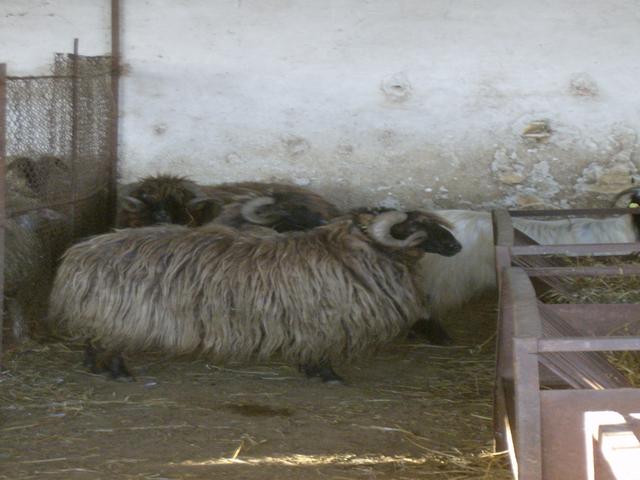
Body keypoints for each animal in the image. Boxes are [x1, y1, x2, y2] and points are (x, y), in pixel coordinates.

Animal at [48, 209, 461, 383]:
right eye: (419, 227)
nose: (457, 246)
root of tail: (79, 254)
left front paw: (312, 371)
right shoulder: (323, 321)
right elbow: (322, 353)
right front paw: (327, 376)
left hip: (100, 312)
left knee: (92, 340)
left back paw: (95, 366)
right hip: (118, 314)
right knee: (111, 344)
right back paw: (118, 373)